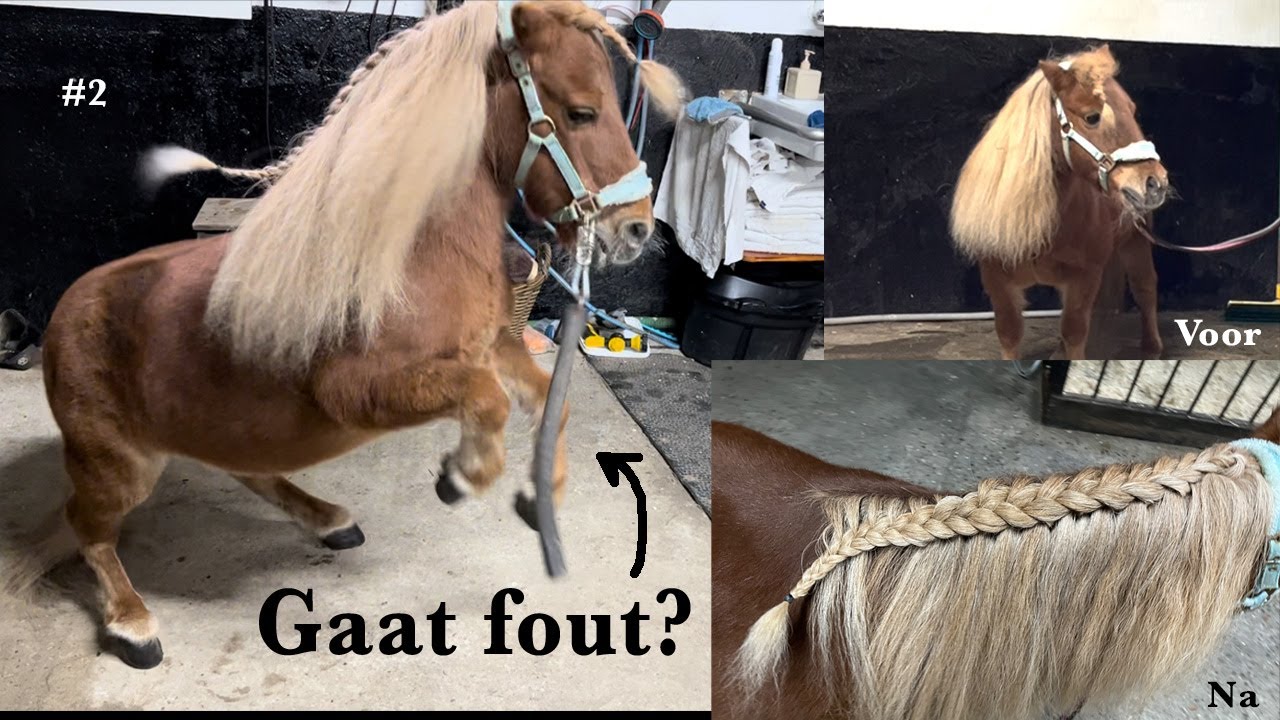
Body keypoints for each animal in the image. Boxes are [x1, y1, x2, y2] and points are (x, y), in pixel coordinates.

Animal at [8, 1, 684, 669]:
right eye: (581, 111)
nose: (636, 230)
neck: (413, 253)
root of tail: (65, 310)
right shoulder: (358, 390)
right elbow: (487, 400)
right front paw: (462, 477)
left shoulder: (491, 346)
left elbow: (549, 400)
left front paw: (535, 496)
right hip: (121, 466)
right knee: (88, 526)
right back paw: (132, 624)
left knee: (246, 470)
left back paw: (328, 520)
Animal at [949, 45, 1170, 360]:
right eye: (1092, 117)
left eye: (1133, 110)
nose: (1155, 182)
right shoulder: (998, 282)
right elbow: (1010, 333)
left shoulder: (1084, 278)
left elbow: (1075, 333)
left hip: (1135, 243)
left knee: (1145, 289)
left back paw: (1152, 348)